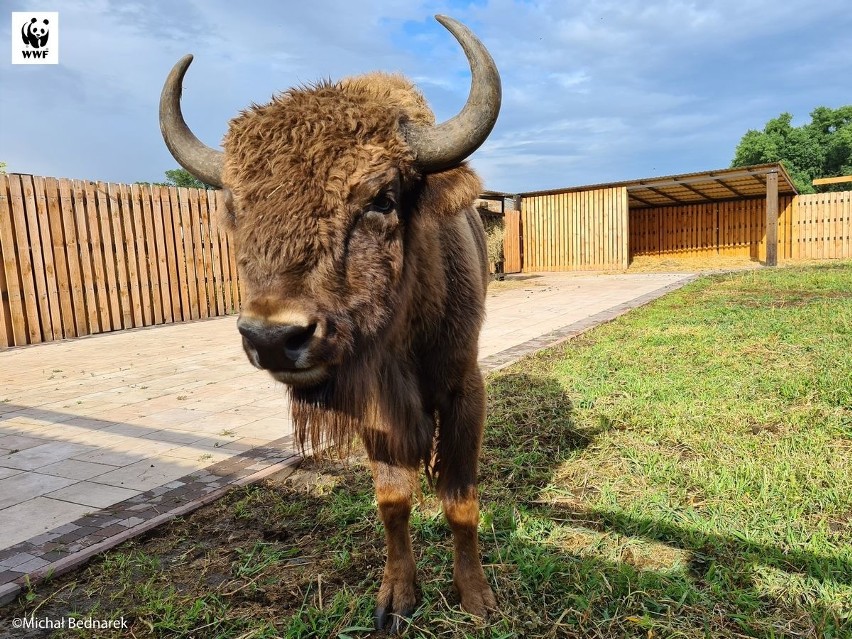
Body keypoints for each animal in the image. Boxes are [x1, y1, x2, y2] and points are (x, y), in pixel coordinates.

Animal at [161, 13, 500, 632]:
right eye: (238, 207)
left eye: (382, 198)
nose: (273, 338)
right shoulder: (375, 408)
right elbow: (393, 499)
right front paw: (396, 601)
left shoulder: (464, 388)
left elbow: (460, 499)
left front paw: (476, 599)